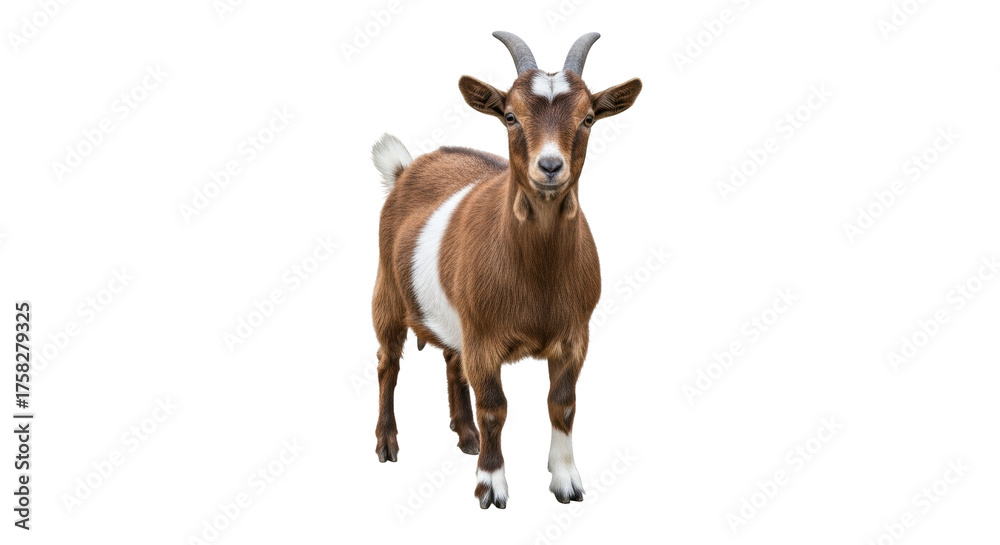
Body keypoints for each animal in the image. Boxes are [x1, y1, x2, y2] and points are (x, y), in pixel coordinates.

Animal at [370, 31, 641, 509]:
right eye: (510, 116)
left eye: (589, 118)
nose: (550, 166)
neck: (537, 274)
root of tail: (405, 170)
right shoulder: (483, 335)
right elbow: (495, 407)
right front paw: (491, 485)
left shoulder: (575, 334)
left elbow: (563, 403)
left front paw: (566, 481)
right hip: (387, 289)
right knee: (388, 361)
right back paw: (387, 443)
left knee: (451, 361)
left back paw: (466, 436)